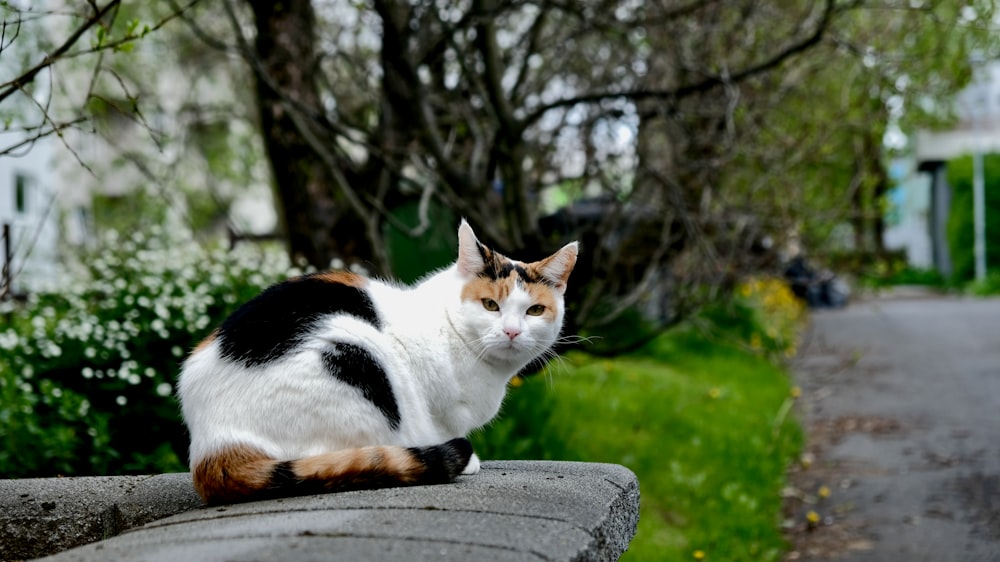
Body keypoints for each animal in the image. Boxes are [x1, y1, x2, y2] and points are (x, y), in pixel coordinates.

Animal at [176, 219, 576, 504]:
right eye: (490, 305)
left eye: (535, 310)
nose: (511, 332)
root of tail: (212, 446)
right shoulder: (436, 410)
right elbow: (441, 427)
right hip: (356, 356)